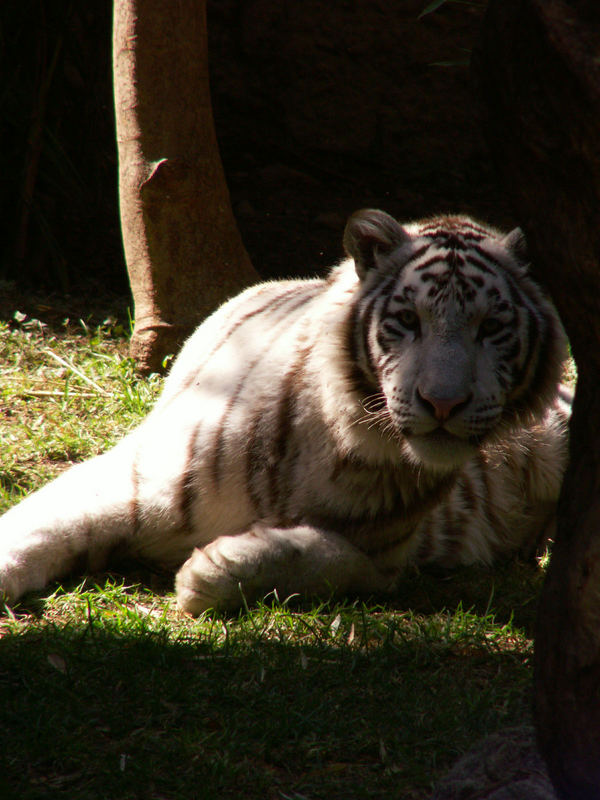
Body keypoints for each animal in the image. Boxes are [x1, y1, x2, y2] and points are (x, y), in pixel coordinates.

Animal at [0, 208, 572, 612]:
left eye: (491, 328)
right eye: (409, 320)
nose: (444, 401)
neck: (347, 445)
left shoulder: (384, 554)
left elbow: (331, 558)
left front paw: (216, 567)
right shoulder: (133, 476)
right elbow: (37, 526)